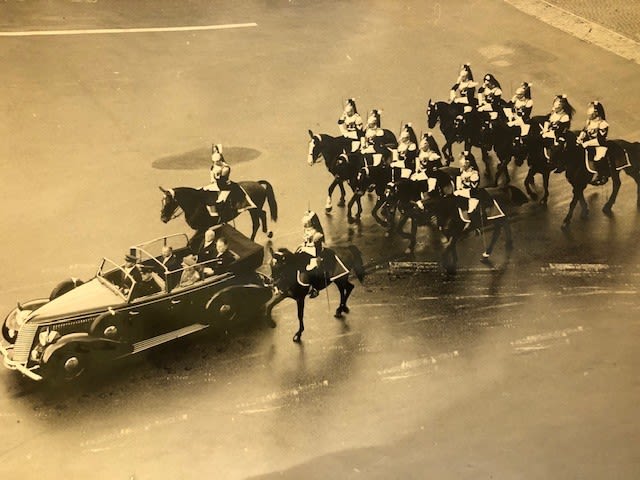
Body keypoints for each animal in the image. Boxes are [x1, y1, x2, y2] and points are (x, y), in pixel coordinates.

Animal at [398, 186, 528, 272]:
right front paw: (454, 260)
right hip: (498, 219)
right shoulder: (451, 233)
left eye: (418, 211)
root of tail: (503, 190)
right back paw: (505, 244)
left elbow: (448, 248)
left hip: (497, 219)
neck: (447, 210)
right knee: (504, 226)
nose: (414, 223)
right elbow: (451, 247)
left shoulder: (456, 232)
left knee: (498, 231)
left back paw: (488, 253)